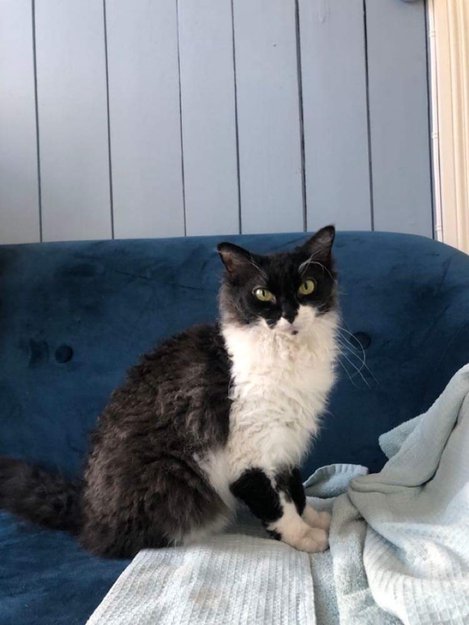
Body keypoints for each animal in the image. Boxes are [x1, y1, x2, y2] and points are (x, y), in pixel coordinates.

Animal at [0, 225, 339, 558]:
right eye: (262, 294)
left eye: (306, 287)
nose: (289, 314)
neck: (289, 356)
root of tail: (87, 513)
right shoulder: (250, 454)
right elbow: (277, 505)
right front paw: (304, 537)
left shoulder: (288, 442)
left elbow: (295, 491)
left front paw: (314, 519)